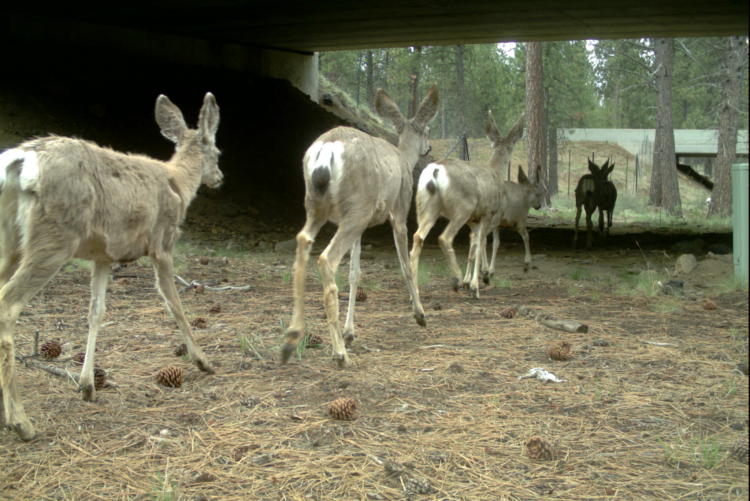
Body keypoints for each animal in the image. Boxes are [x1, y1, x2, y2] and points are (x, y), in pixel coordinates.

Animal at [0, 92, 222, 440]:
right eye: (217, 151)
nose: (219, 178)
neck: (179, 183)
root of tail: (19, 160)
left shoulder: (103, 257)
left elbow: (96, 313)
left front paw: (87, 386)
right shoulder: (162, 245)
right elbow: (174, 304)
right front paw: (203, 360)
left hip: (10, 241)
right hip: (53, 239)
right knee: (8, 304)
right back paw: (21, 421)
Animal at [284, 85, 444, 368]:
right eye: (426, 129)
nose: (429, 147)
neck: (404, 159)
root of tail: (326, 150)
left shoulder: (360, 227)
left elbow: (354, 273)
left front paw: (350, 333)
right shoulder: (399, 210)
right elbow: (406, 265)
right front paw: (420, 314)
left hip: (324, 206)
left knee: (303, 243)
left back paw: (293, 338)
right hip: (357, 209)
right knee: (326, 258)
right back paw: (339, 354)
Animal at [412, 110, 524, 296]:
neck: (495, 173)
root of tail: (435, 171)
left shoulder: (474, 219)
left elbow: (473, 246)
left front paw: (471, 279)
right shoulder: (488, 213)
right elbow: (481, 244)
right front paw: (476, 282)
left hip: (425, 206)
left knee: (417, 237)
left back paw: (414, 289)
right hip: (462, 208)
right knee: (444, 238)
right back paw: (456, 279)